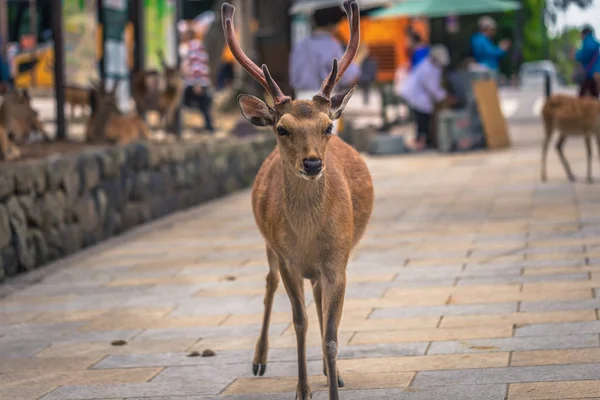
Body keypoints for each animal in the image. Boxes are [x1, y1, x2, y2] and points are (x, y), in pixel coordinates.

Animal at [220, 1, 372, 398]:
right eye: (282, 128)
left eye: (327, 126)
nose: (313, 162)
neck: (307, 238)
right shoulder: (288, 258)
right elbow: (299, 322)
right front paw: (302, 390)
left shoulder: (337, 259)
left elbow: (331, 333)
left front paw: (333, 383)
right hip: (269, 246)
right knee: (269, 283)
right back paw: (259, 360)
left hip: (319, 267)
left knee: (318, 300)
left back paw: (332, 372)